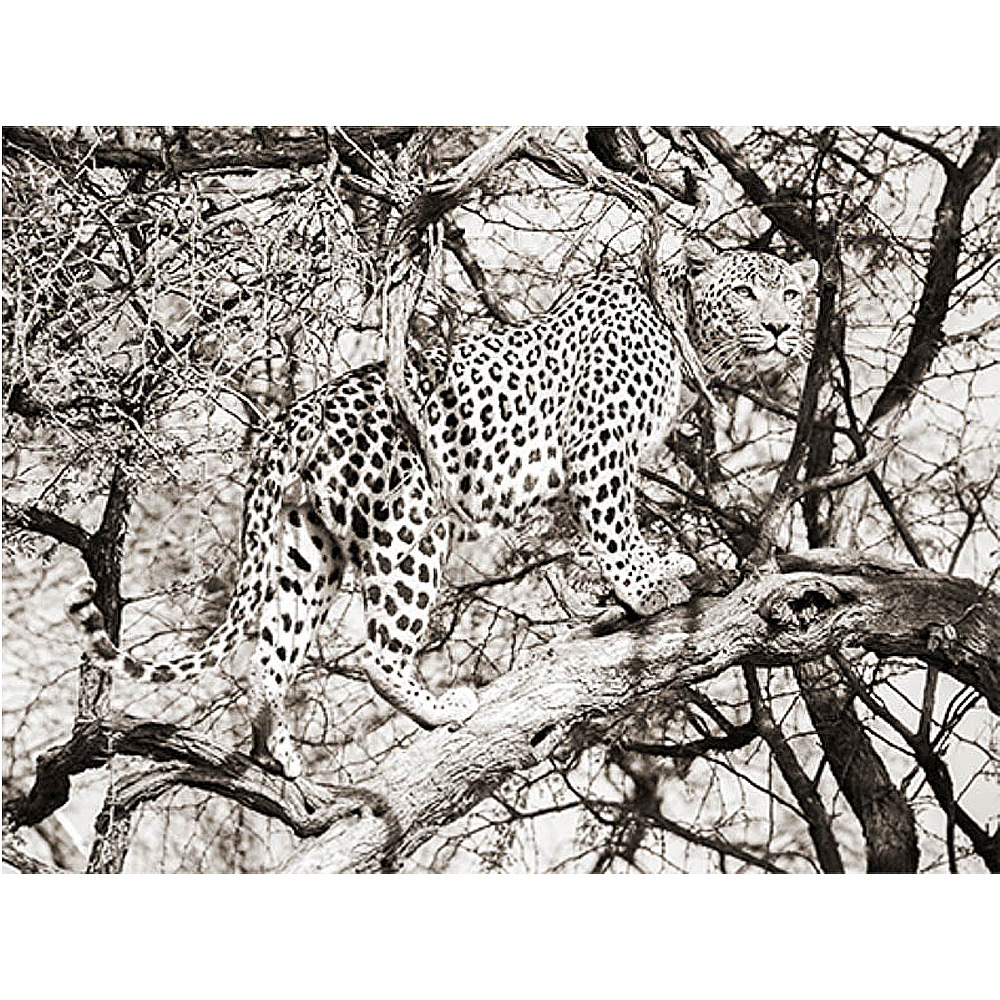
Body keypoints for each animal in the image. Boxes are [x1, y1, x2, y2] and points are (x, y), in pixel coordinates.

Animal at [67, 237, 818, 780]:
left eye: (790, 292)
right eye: (745, 291)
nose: (782, 328)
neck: (682, 332)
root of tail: (296, 415)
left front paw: (650, 579)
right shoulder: (599, 448)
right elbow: (612, 526)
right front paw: (649, 587)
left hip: (307, 550)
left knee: (270, 655)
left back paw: (278, 750)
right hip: (411, 528)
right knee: (377, 651)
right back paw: (441, 710)